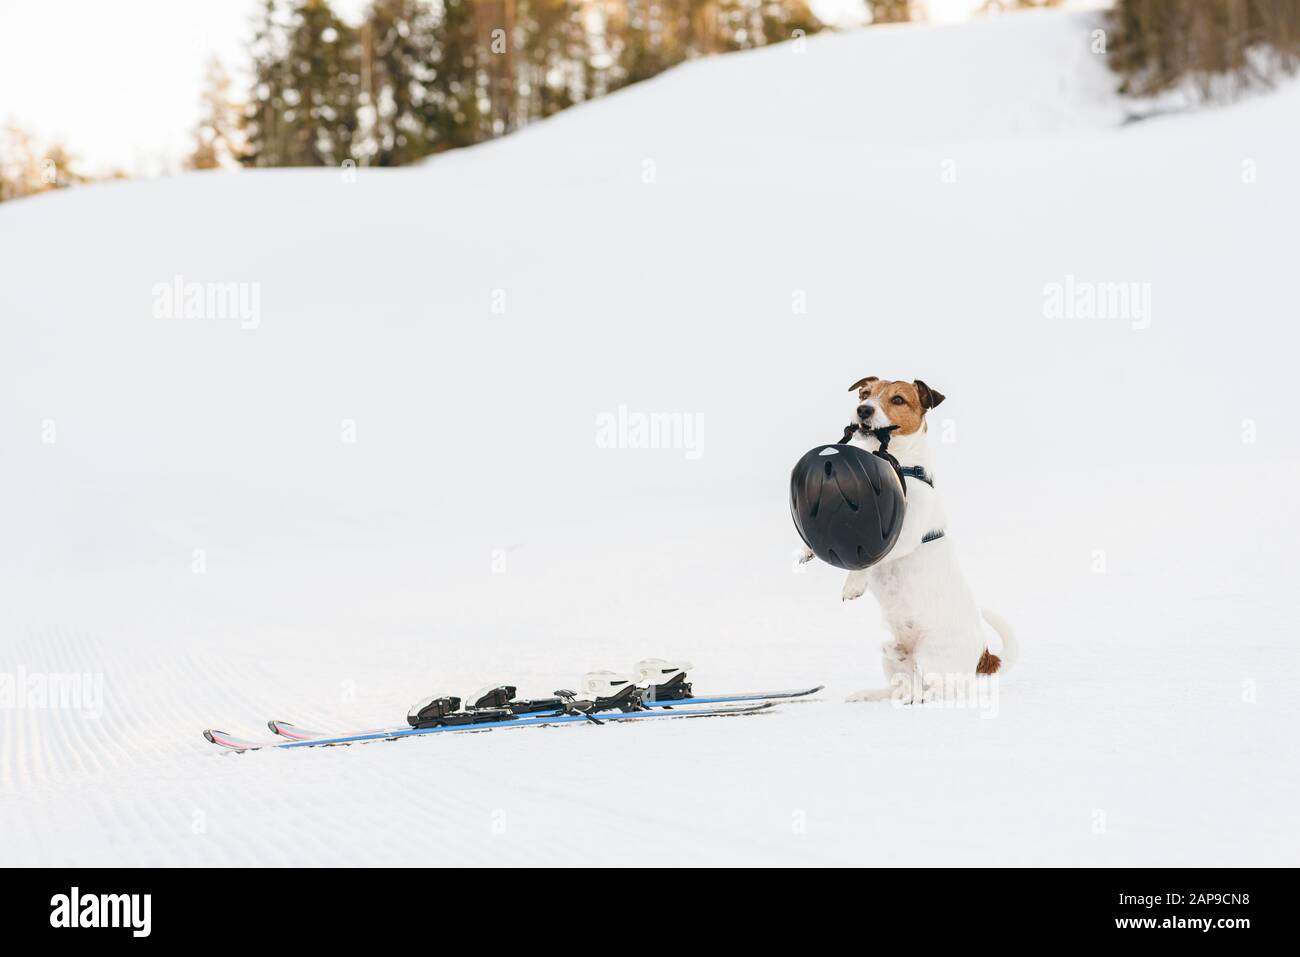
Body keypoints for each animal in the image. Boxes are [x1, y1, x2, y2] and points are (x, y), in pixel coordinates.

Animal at [795, 374, 1019, 702]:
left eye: (898, 399)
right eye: (864, 393)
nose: (863, 409)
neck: (896, 463)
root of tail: (983, 656)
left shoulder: (906, 532)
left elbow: (872, 557)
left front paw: (853, 583)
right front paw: (806, 549)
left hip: (933, 655)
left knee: (942, 689)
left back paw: (925, 697)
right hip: (892, 660)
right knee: (901, 687)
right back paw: (873, 691)